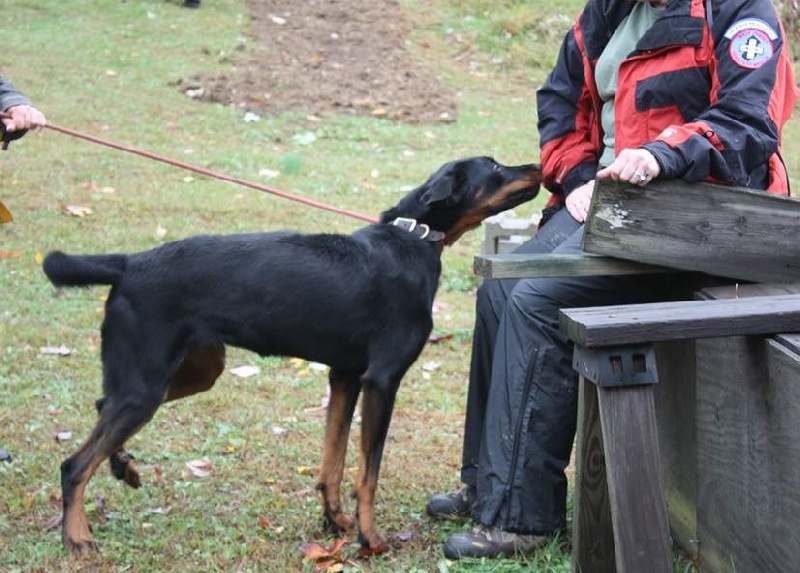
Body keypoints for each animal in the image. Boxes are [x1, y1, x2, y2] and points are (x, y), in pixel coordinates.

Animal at [45, 154, 544, 552]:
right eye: (494, 167)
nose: (538, 164)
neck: (413, 238)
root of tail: (129, 263)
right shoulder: (382, 380)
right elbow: (368, 473)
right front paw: (371, 538)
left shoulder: (344, 377)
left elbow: (332, 461)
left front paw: (334, 520)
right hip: (148, 384)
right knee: (74, 464)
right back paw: (78, 536)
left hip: (192, 370)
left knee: (101, 404)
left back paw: (124, 469)